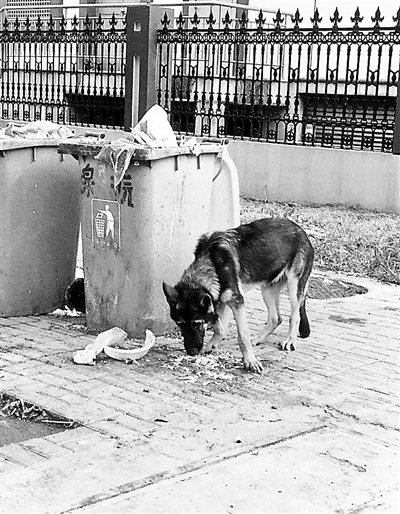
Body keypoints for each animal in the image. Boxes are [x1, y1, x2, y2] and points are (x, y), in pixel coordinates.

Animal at [163, 216, 316, 372]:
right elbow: (220, 329)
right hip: (267, 290)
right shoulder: (221, 301)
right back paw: (258, 339)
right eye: (180, 324)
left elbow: (242, 335)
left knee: (294, 316)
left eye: (197, 323)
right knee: (275, 318)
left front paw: (250, 361)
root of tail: (302, 231)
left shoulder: (237, 302)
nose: (191, 352)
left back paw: (290, 340)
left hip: (294, 287)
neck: (213, 263)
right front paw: (210, 346)